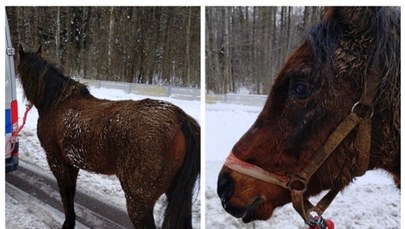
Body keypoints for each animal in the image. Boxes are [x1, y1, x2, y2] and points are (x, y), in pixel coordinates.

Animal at [17, 45, 200, 229]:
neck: (57, 102)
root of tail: (179, 118)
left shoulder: (57, 162)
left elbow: (65, 194)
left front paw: (68, 223)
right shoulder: (71, 164)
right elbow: (71, 192)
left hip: (139, 201)